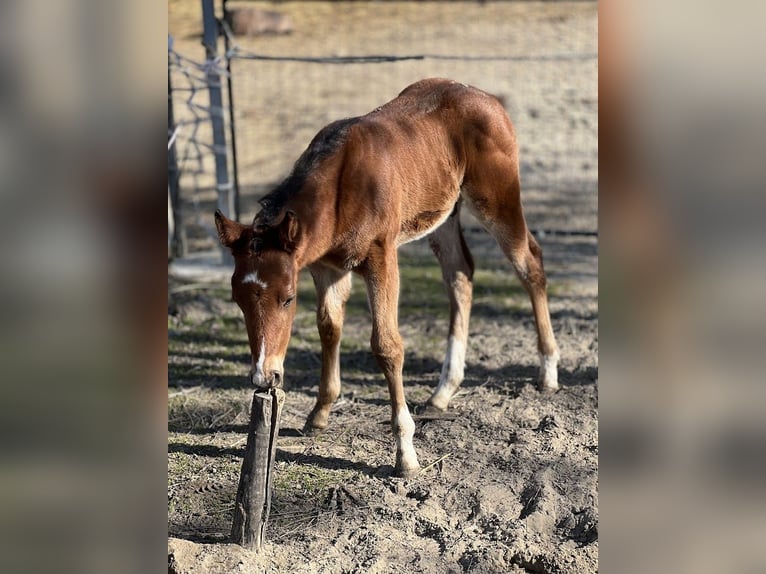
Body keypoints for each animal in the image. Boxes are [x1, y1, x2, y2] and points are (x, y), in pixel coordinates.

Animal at [214, 78, 559, 478]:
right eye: (238, 301)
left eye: (288, 298)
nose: (263, 377)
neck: (340, 189)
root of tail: (488, 98)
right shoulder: (327, 267)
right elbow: (328, 327)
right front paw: (319, 414)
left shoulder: (382, 256)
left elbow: (386, 345)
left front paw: (405, 454)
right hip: (444, 215)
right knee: (460, 275)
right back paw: (443, 391)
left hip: (496, 199)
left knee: (530, 263)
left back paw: (548, 372)